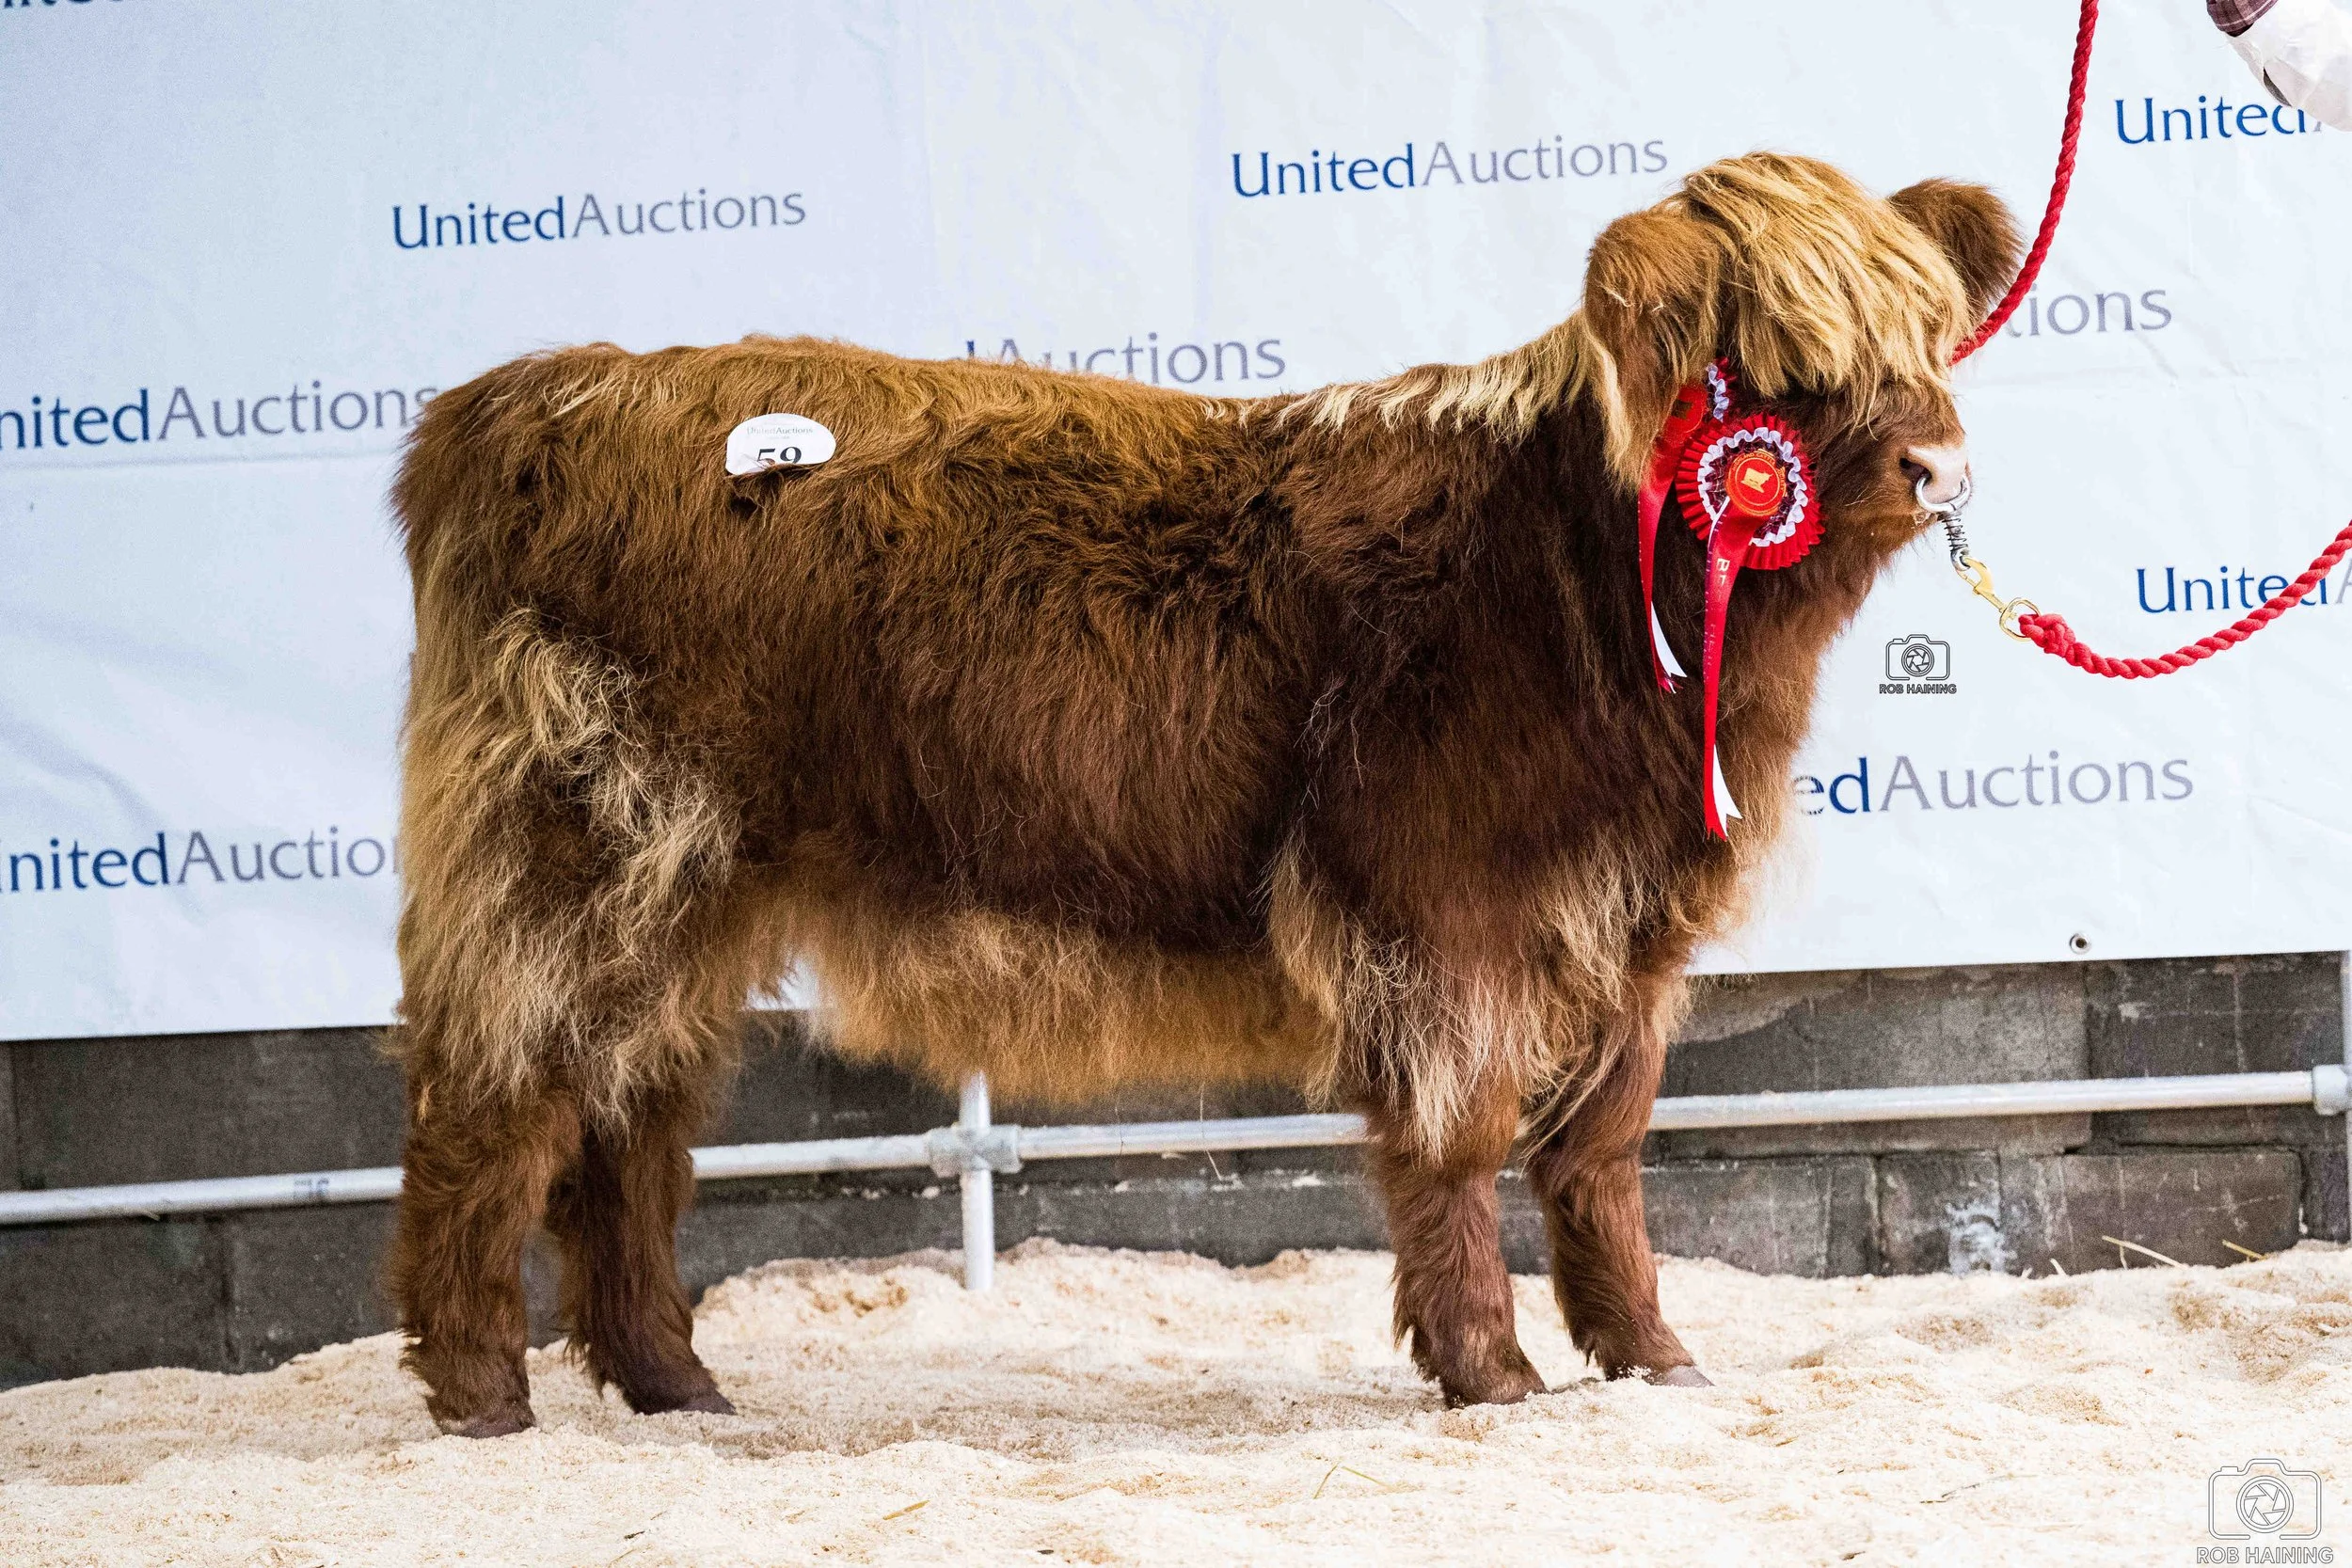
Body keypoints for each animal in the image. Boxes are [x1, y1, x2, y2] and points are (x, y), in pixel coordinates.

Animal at [387, 153, 2018, 1436]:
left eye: (1927, 331)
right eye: (1783, 355)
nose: (1942, 466)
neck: (1588, 581)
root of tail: (531, 397)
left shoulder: (1627, 929)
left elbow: (1600, 1150)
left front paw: (1652, 1357)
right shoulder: (1444, 911)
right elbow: (1463, 1134)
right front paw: (1490, 1371)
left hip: (685, 894)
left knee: (625, 1125)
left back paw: (672, 1382)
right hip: (572, 854)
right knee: (494, 1108)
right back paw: (480, 1394)